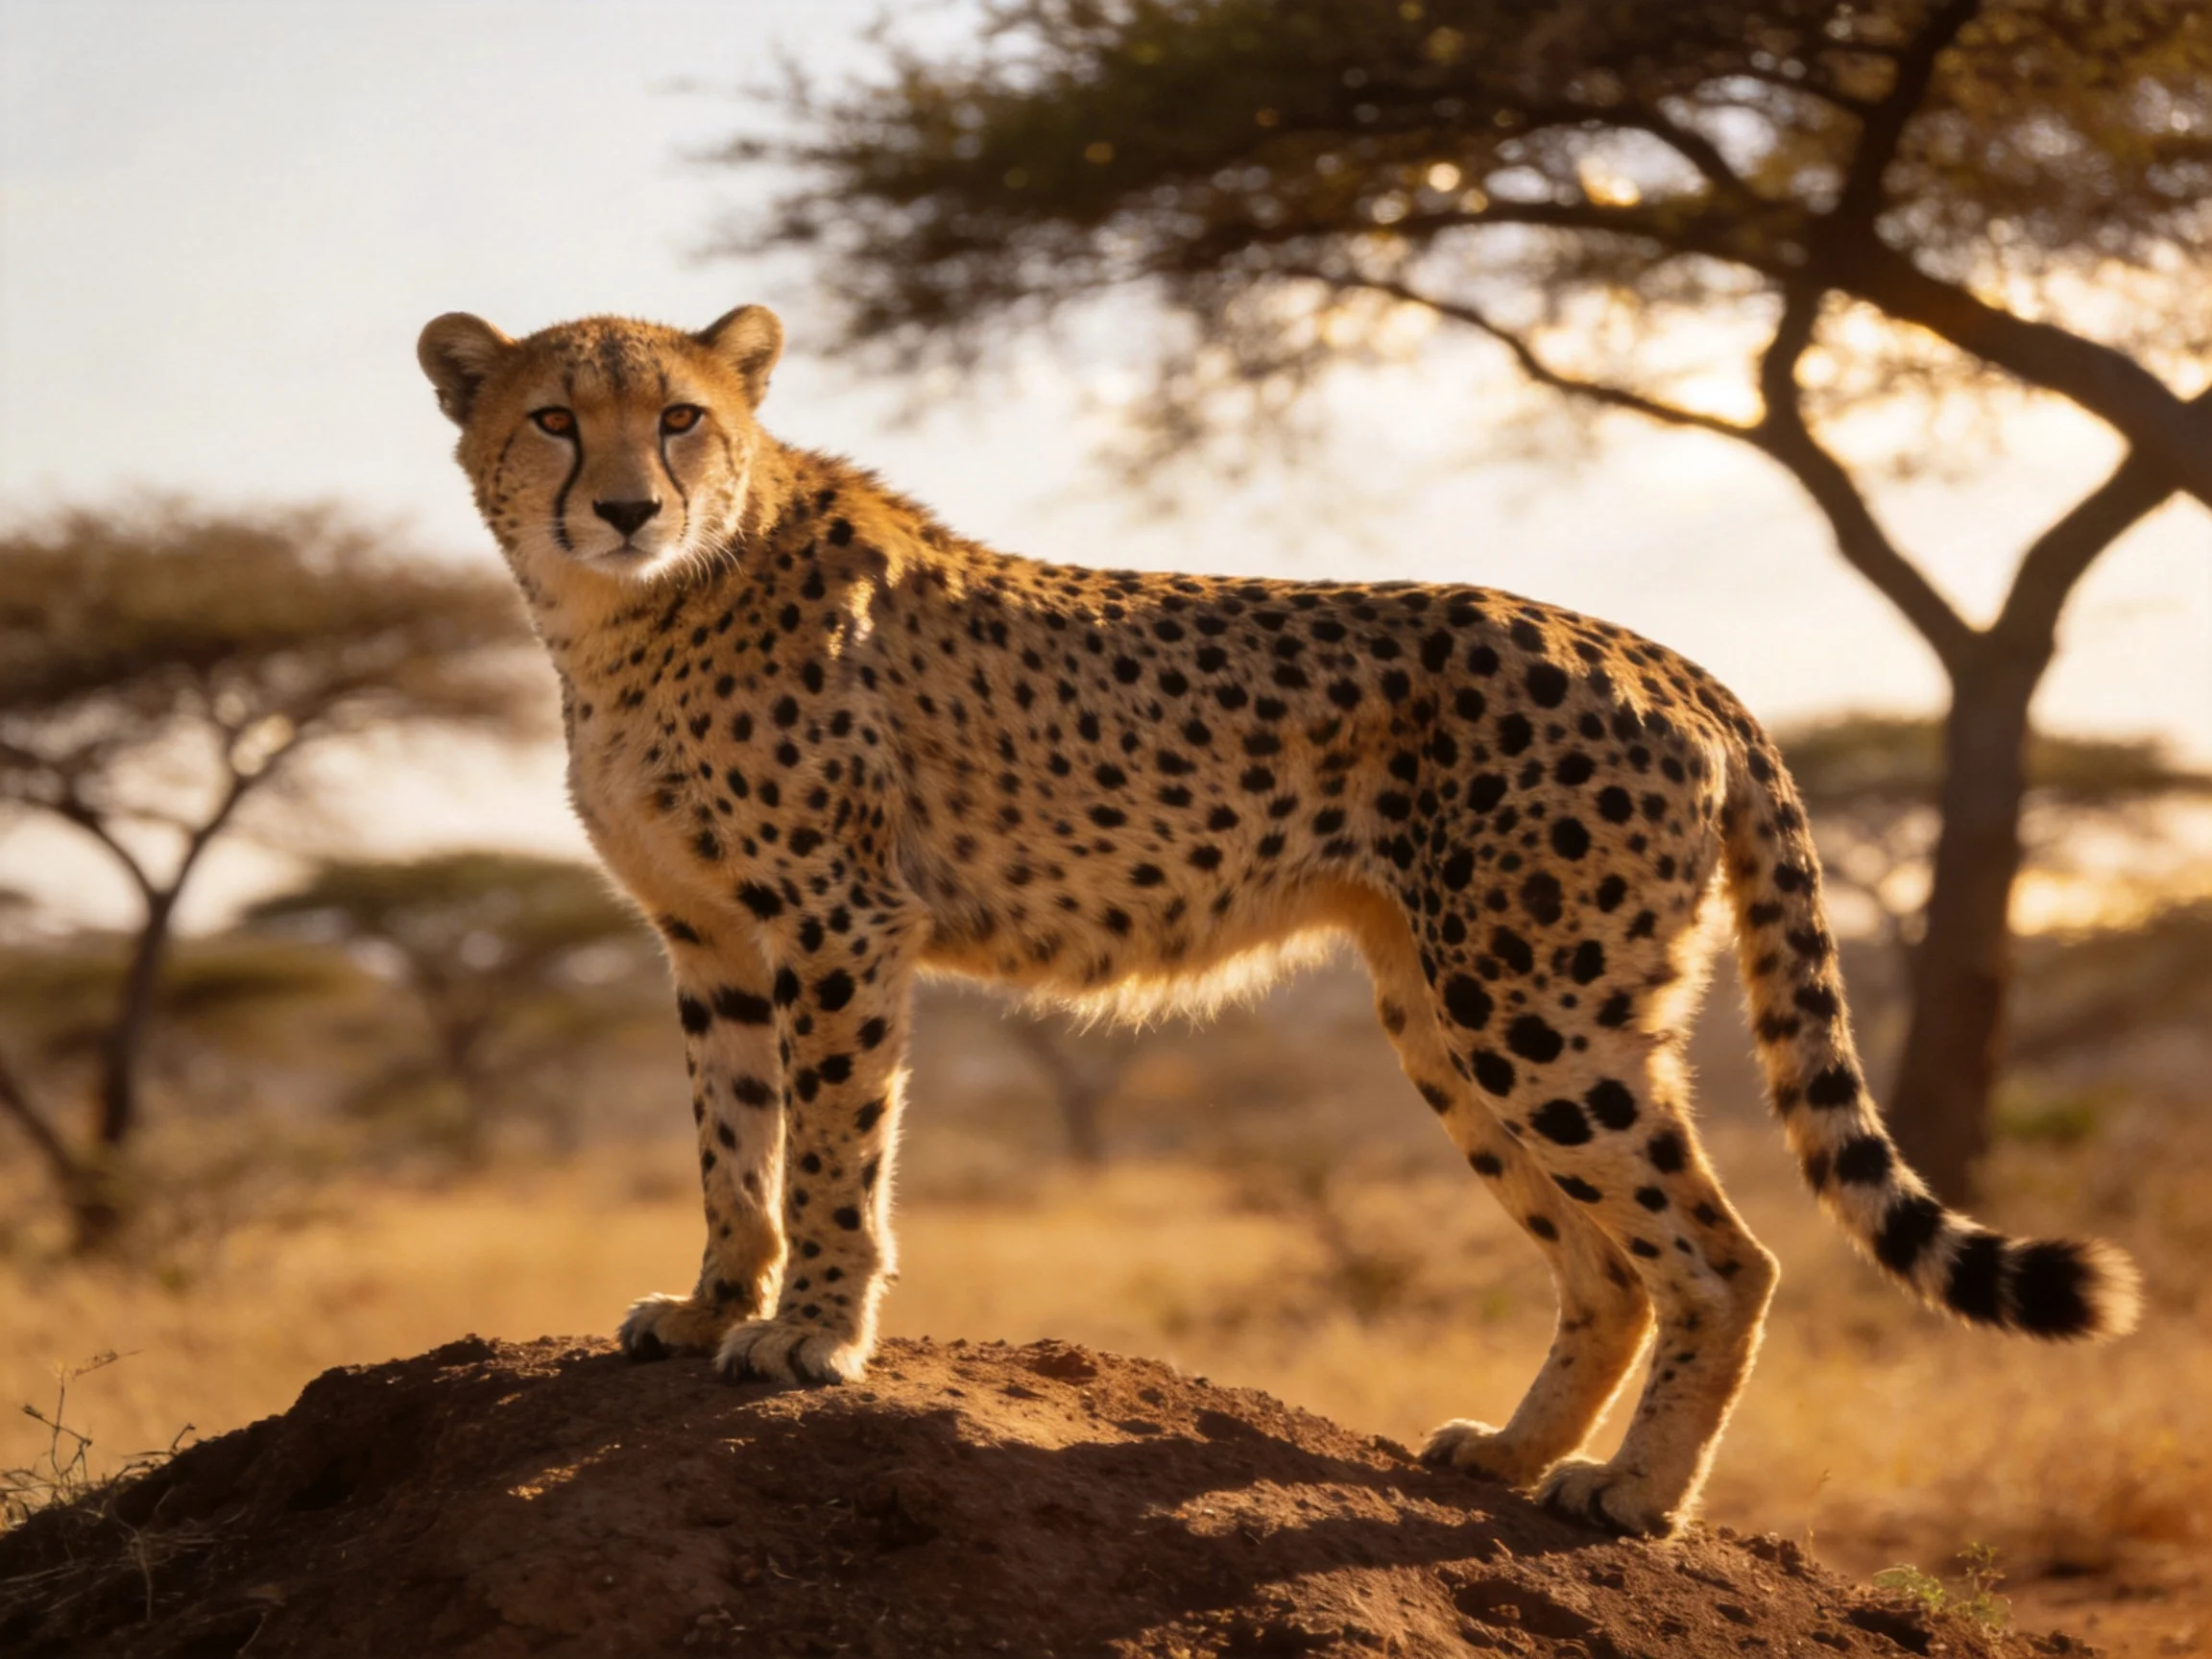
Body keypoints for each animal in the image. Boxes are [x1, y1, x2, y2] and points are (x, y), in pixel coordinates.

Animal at [417, 301, 2139, 1538]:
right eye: (553, 418)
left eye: (683, 418)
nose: (624, 506)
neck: (630, 613)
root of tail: (1649, 647)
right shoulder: (710, 939)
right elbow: (732, 1143)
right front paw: (713, 1300)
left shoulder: (837, 919)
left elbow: (833, 1145)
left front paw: (813, 1334)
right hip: (1445, 1007)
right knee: (1608, 1265)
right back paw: (1513, 1452)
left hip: (1537, 1000)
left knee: (1721, 1257)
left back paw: (1635, 1496)